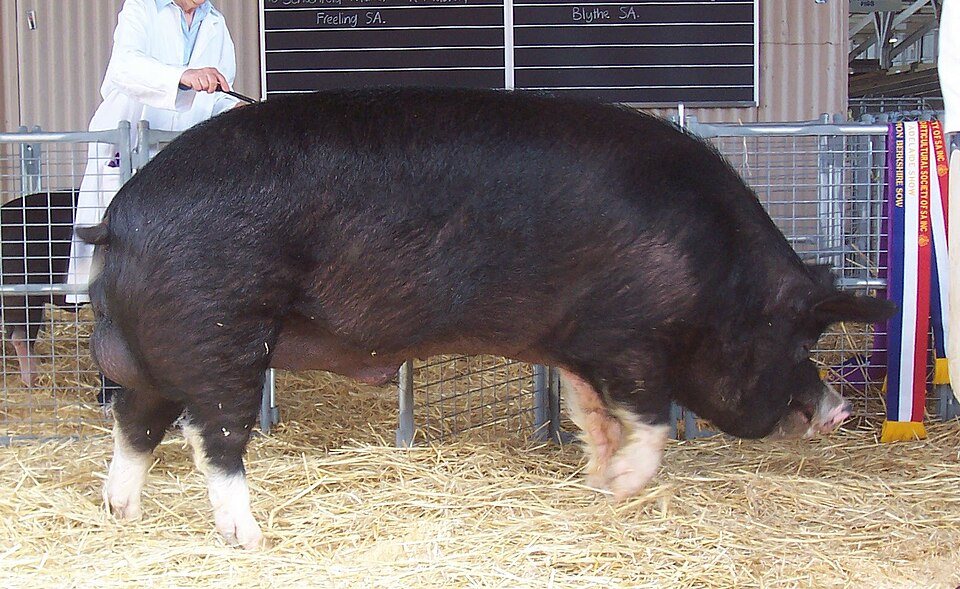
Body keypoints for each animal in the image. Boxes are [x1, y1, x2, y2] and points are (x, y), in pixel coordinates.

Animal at [78, 87, 895, 549]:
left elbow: (590, 409)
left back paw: (122, 515)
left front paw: (596, 478)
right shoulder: (632, 338)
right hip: (221, 331)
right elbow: (653, 419)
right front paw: (624, 486)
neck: (717, 270)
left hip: (152, 355)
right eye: (799, 333)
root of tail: (121, 219)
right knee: (211, 437)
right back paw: (251, 540)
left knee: (136, 426)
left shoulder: (578, 343)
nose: (841, 408)